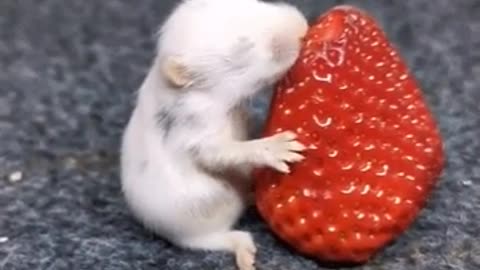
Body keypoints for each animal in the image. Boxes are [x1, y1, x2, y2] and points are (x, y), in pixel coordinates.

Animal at [120, 1, 308, 268]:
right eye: (243, 49)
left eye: (257, 4)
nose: (302, 27)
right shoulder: (196, 121)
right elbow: (216, 153)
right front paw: (273, 147)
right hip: (193, 230)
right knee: (220, 239)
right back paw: (242, 248)